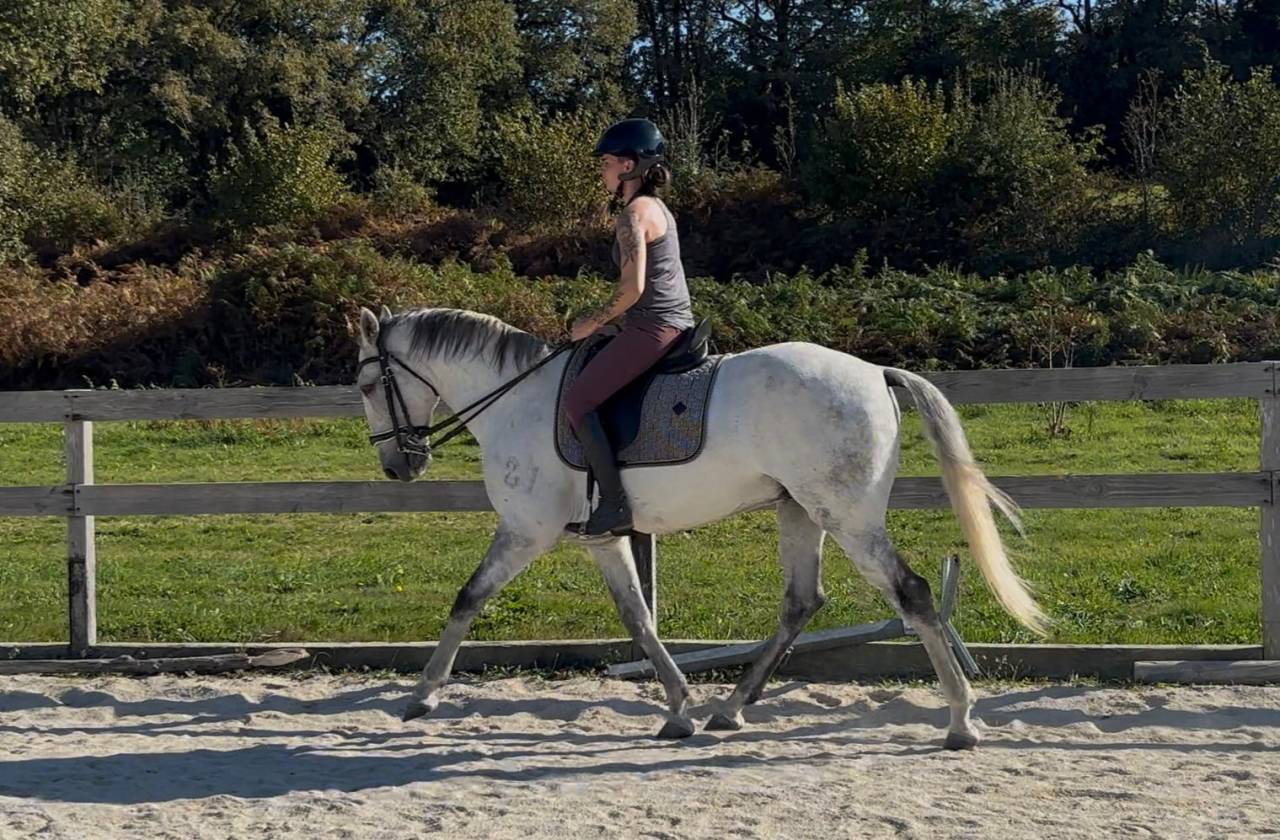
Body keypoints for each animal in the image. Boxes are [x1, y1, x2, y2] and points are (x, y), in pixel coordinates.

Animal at [354, 305, 1048, 749]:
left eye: (364, 383)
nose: (397, 465)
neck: (514, 400)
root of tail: (875, 373)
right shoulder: (601, 539)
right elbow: (638, 619)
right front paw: (680, 709)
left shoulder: (525, 529)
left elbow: (468, 597)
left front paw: (422, 695)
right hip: (800, 511)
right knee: (802, 601)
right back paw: (730, 711)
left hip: (846, 517)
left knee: (912, 594)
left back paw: (960, 721)